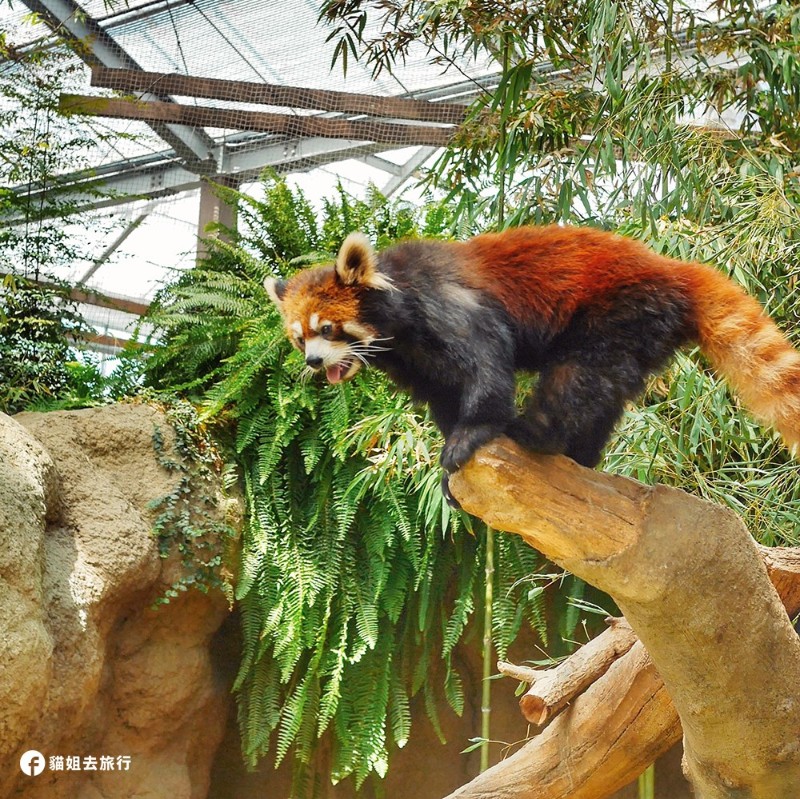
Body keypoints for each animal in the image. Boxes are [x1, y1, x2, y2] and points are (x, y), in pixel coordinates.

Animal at [264, 222, 800, 504]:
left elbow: (486, 365)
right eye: (298, 337)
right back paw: (580, 455)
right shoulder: (415, 362)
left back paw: (534, 434)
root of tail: (674, 266)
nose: (315, 362)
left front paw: (470, 437)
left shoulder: (448, 304)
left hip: (616, 310)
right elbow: (443, 394)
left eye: (328, 329)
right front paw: (451, 441)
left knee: (577, 377)